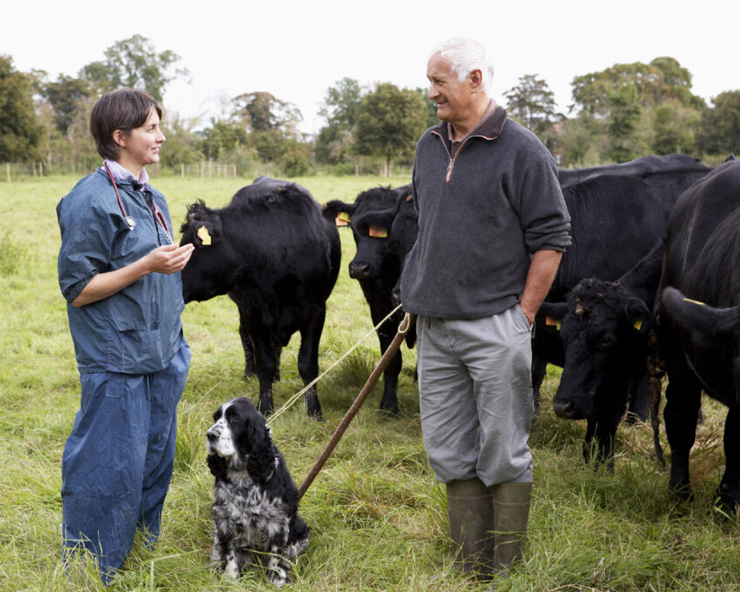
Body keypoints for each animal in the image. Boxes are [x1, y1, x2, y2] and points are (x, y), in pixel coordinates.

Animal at [181, 177, 342, 420]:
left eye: (190, 247)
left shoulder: (315, 309)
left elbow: (307, 363)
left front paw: (313, 410)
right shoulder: (252, 310)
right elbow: (264, 361)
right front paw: (265, 407)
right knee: (246, 338)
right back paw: (250, 373)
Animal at [207, 396, 310, 584]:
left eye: (235, 418)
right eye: (216, 418)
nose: (210, 435)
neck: (242, 473)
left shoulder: (278, 518)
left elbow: (277, 552)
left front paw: (278, 579)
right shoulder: (225, 516)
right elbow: (230, 552)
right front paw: (230, 578)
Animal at [324, 186, 416, 416]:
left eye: (385, 237)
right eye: (354, 230)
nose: (359, 268)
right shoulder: (379, 312)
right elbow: (391, 359)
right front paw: (389, 404)